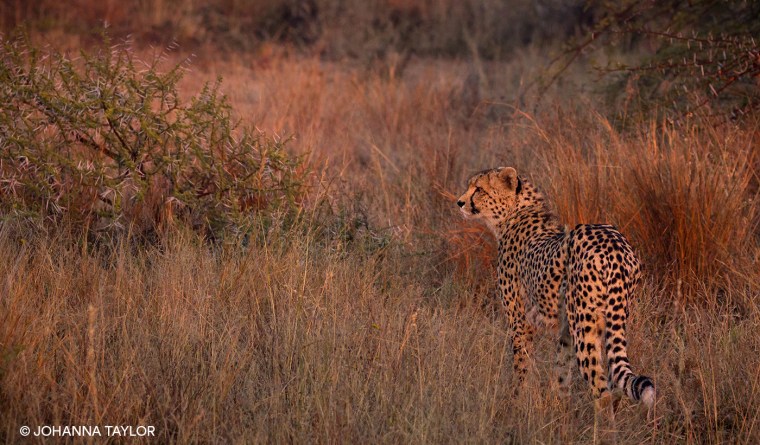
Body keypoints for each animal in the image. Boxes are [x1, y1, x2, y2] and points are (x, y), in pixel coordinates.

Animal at [456, 166, 655, 409]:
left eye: (479, 189)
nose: (460, 202)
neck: (515, 214)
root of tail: (614, 245)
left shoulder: (519, 321)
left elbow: (521, 365)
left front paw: (516, 400)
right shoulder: (564, 329)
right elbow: (561, 369)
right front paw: (560, 406)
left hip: (585, 327)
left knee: (601, 390)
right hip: (610, 321)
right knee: (614, 382)